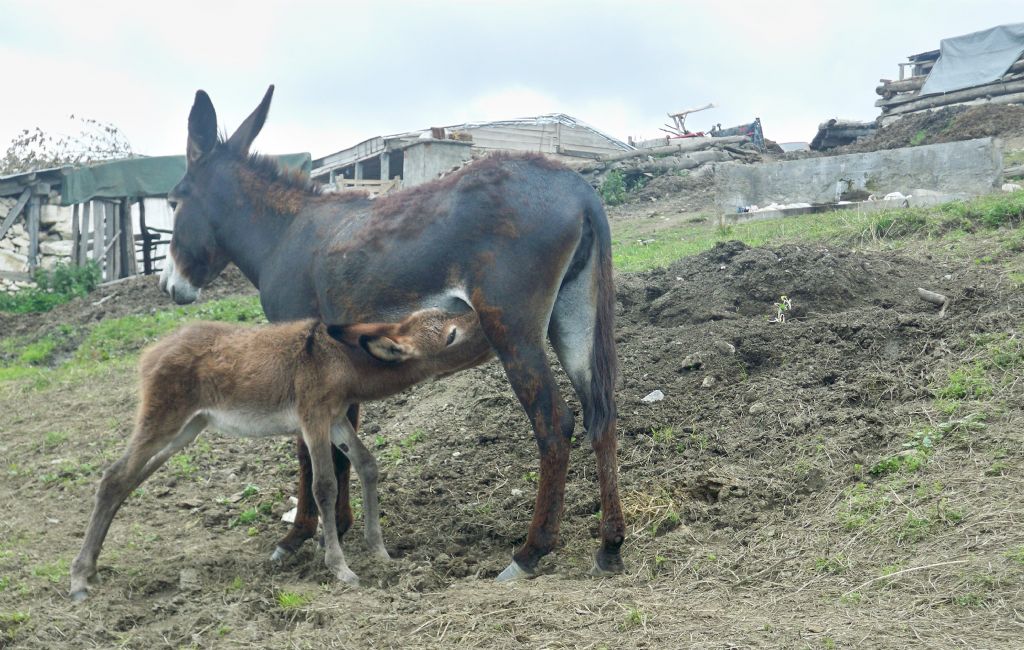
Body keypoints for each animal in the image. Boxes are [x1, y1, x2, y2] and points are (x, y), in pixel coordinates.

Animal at [70, 311, 489, 601]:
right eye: (451, 336)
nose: (485, 317)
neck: (341, 357)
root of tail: (152, 352)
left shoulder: (336, 419)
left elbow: (367, 465)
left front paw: (379, 551)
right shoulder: (313, 418)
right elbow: (324, 486)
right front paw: (340, 568)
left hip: (186, 429)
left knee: (128, 480)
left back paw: (90, 570)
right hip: (163, 421)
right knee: (113, 477)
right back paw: (79, 578)